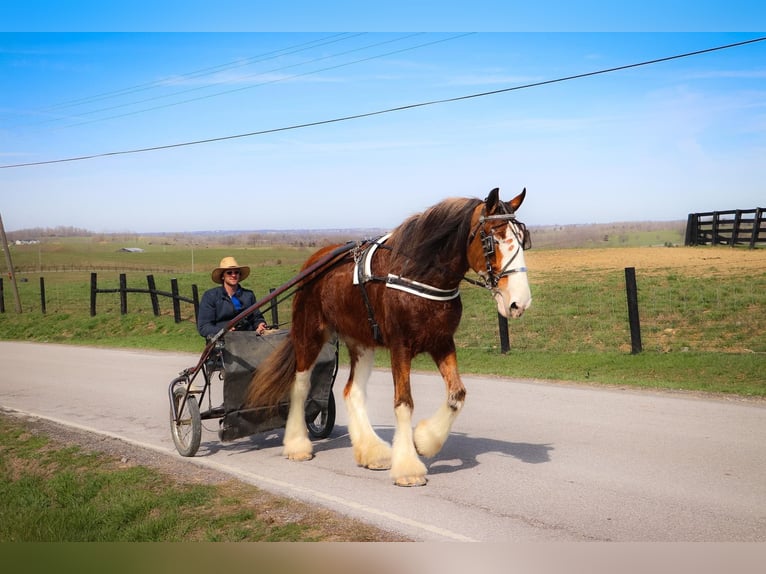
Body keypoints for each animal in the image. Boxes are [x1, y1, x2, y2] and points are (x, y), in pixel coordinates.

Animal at [248, 188, 536, 486]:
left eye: (522, 239)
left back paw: (372, 452)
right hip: (310, 333)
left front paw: (424, 440)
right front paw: (408, 467)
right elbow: (404, 402)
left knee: (353, 391)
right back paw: (297, 445)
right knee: (300, 384)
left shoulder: (442, 342)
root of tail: (314, 262)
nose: (520, 302)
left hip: (361, 342)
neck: (420, 273)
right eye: (492, 240)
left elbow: (457, 395)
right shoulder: (401, 346)